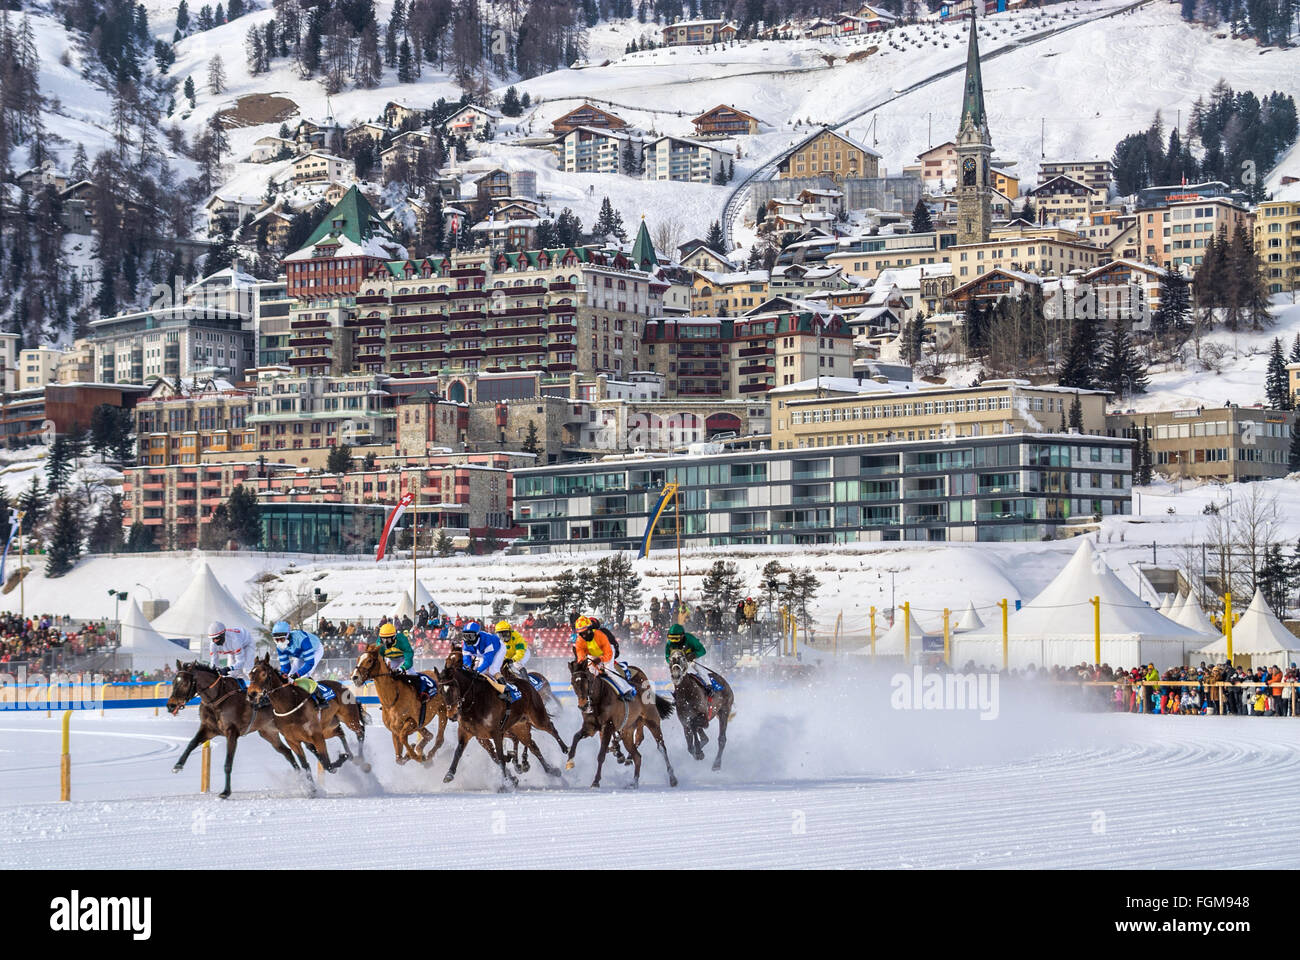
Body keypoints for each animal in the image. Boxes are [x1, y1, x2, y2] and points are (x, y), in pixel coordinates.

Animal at [165, 655, 299, 796]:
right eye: (174, 681)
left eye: (185, 683)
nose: (171, 705)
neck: (218, 699)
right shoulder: (209, 729)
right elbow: (192, 743)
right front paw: (178, 765)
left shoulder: (232, 732)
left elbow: (228, 763)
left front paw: (226, 792)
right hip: (268, 732)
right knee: (287, 752)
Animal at [436, 658, 569, 785]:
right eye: (441, 691)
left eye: (454, 688)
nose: (452, 715)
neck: (474, 703)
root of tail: (527, 683)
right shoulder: (469, 733)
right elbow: (459, 752)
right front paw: (449, 774)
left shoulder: (496, 733)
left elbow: (500, 758)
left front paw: (506, 782)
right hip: (520, 727)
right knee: (533, 746)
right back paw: (549, 769)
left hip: (537, 716)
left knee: (550, 728)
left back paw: (565, 749)